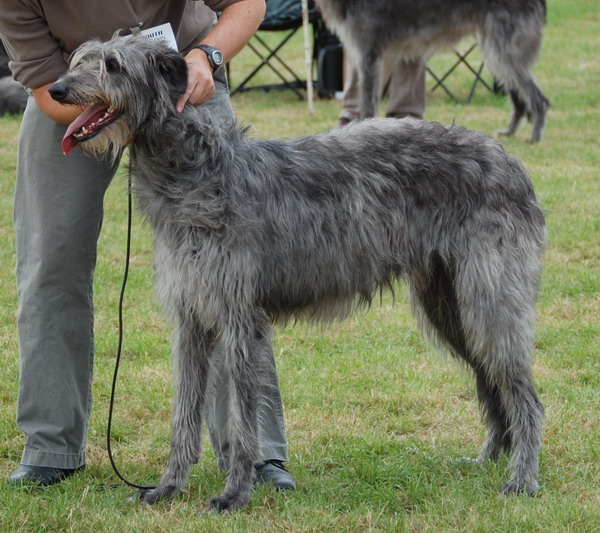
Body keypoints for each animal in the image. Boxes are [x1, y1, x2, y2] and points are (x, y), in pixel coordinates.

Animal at [49, 37, 544, 512]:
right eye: (80, 59)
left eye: (113, 65)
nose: (56, 90)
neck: (197, 171)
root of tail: (512, 161)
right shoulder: (191, 318)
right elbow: (183, 414)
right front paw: (169, 487)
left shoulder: (240, 319)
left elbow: (243, 421)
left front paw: (235, 495)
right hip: (449, 304)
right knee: (490, 378)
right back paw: (490, 458)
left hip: (489, 298)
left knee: (526, 395)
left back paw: (522, 479)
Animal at [316, 0, 552, 141]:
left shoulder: (368, 55)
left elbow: (367, 104)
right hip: (495, 51)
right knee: (519, 97)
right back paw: (510, 131)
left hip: (504, 50)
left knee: (539, 99)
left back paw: (534, 136)